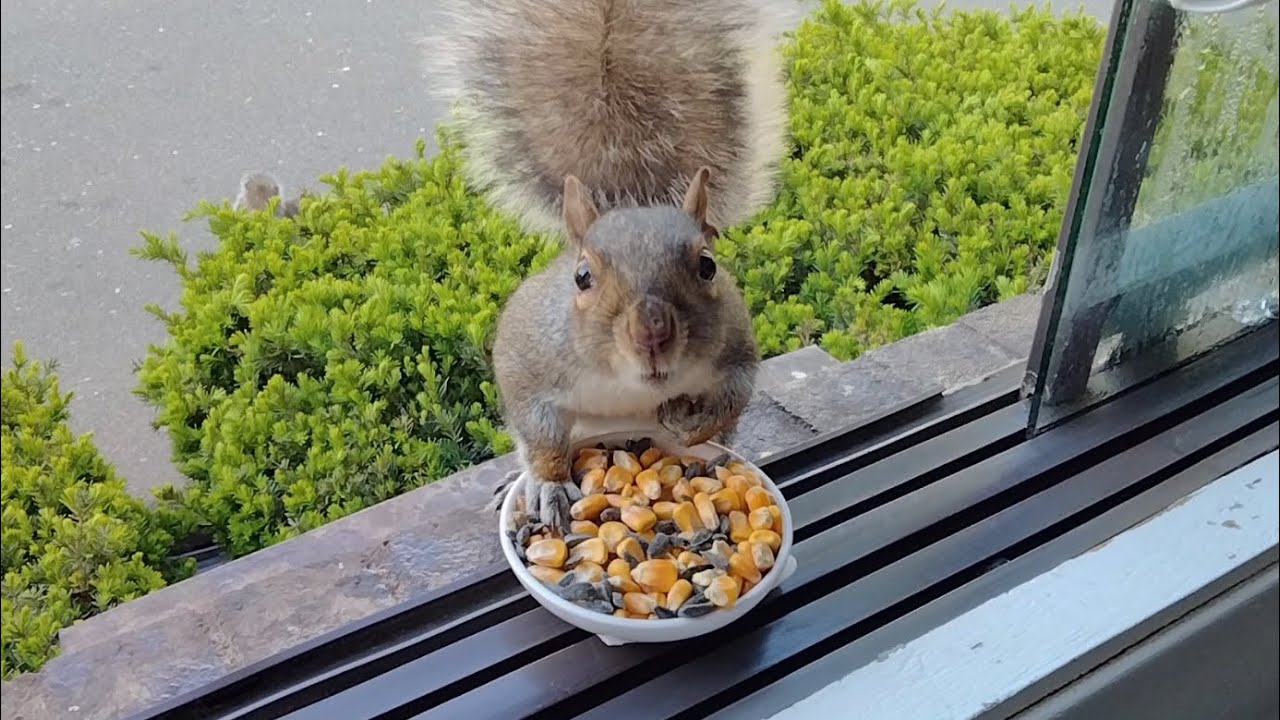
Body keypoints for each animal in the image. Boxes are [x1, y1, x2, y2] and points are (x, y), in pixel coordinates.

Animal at [426, 0, 793, 531]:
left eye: (707, 266)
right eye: (582, 277)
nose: (651, 333)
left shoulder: (737, 347)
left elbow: (735, 395)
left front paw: (694, 424)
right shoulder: (527, 359)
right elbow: (538, 428)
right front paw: (549, 484)